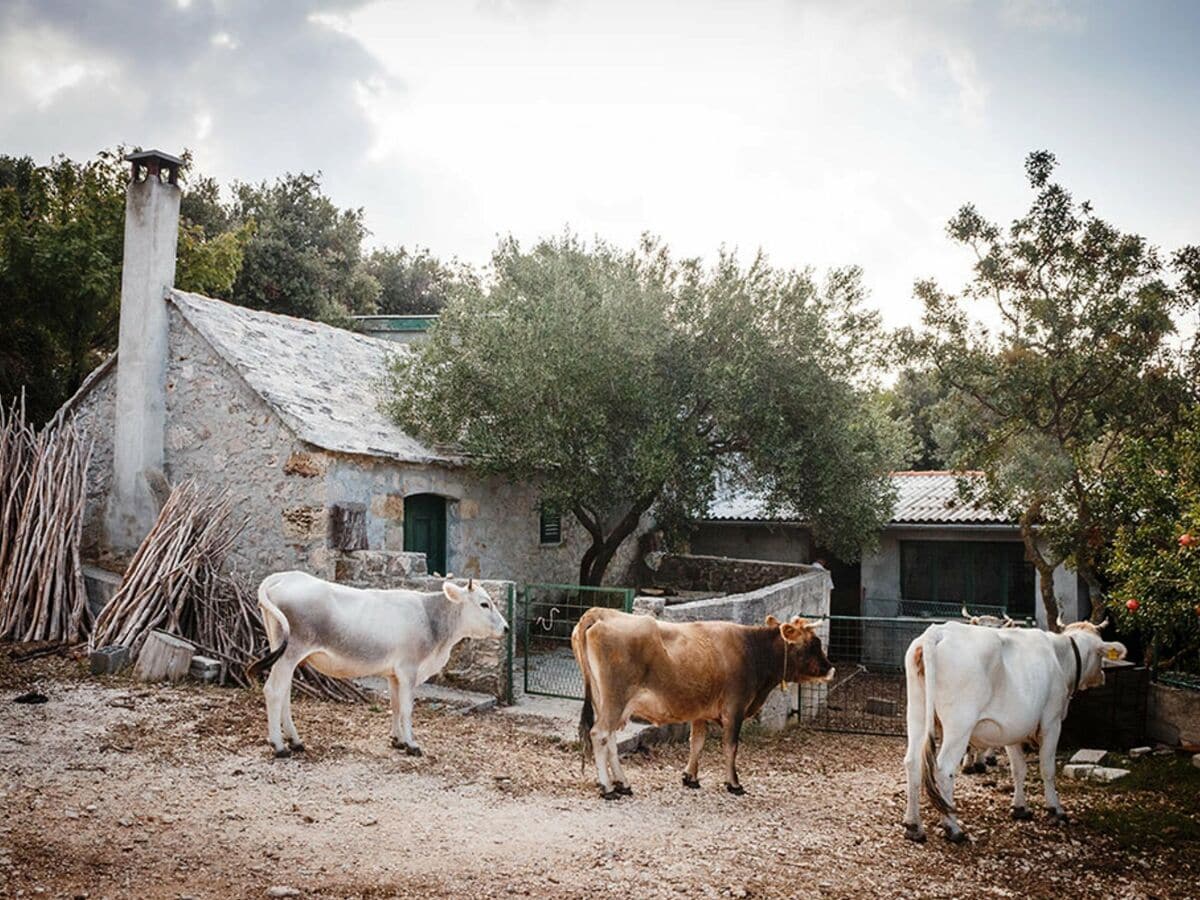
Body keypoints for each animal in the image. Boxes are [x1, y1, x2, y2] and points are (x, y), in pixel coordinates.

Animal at [246, 573, 508, 758]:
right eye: (484, 604)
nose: (506, 628)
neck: (431, 620)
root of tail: (283, 576)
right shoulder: (408, 669)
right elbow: (407, 708)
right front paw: (412, 744)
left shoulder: (394, 674)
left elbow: (395, 706)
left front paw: (398, 740)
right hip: (290, 653)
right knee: (274, 691)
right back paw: (279, 746)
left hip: (283, 653)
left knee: (285, 693)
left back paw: (295, 741)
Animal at [571, 609, 835, 801]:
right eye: (814, 643)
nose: (830, 668)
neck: (752, 649)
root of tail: (600, 613)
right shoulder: (734, 709)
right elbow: (730, 747)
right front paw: (734, 783)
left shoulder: (701, 711)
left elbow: (696, 742)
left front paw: (690, 777)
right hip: (615, 700)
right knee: (599, 734)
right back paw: (608, 788)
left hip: (607, 702)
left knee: (610, 740)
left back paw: (622, 784)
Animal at [902, 619, 1118, 844]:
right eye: (1101, 655)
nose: (1103, 676)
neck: (1060, 656)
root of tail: (938, 631)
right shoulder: (1052, 721)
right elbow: (1047, 769)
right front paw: (1055, 809)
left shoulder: (1012, 730)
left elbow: (1018, 768)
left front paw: (1020, 807)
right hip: (959, 724)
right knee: (944, 769)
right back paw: (953, 828)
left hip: (917, 713)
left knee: (912, 762)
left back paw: (913, 826)